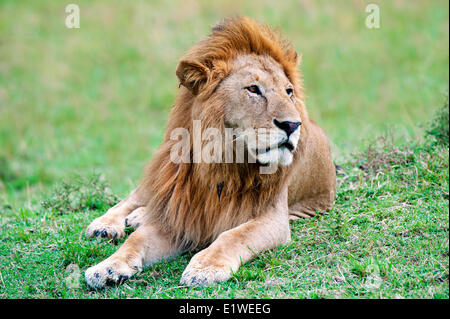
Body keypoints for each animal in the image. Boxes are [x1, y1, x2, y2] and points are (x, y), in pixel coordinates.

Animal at [84, 16, 336, 288]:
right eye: (253, 89)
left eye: (289, 92)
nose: (292, 125)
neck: (223, 161)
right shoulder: (183, 215)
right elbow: (136, 240)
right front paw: (106, 267)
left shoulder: (273, 218)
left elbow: (233, 235)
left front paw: (205, 267)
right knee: (135, 198)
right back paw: (105, 225)